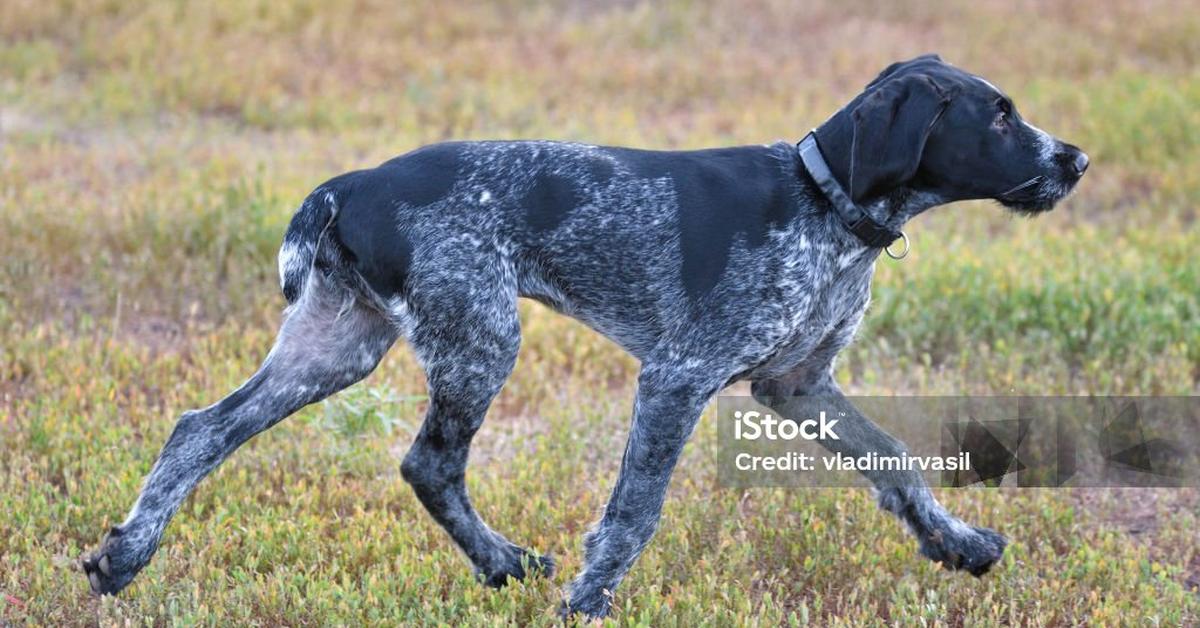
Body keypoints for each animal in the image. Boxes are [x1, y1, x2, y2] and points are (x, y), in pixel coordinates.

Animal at [84, 55, 1089, 619]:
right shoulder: (679, 378)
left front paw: (957, 545)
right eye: (1000, 116)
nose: (1077, 159)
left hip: (339, 345)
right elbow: (633, 513)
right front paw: (589, 603)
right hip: (479, 336)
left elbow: (896, 463)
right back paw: (502, 565)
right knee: (427, 463)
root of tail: (352, 181)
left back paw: (124, 559)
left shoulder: (797, 385)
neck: (825, 201)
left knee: (201, 430)